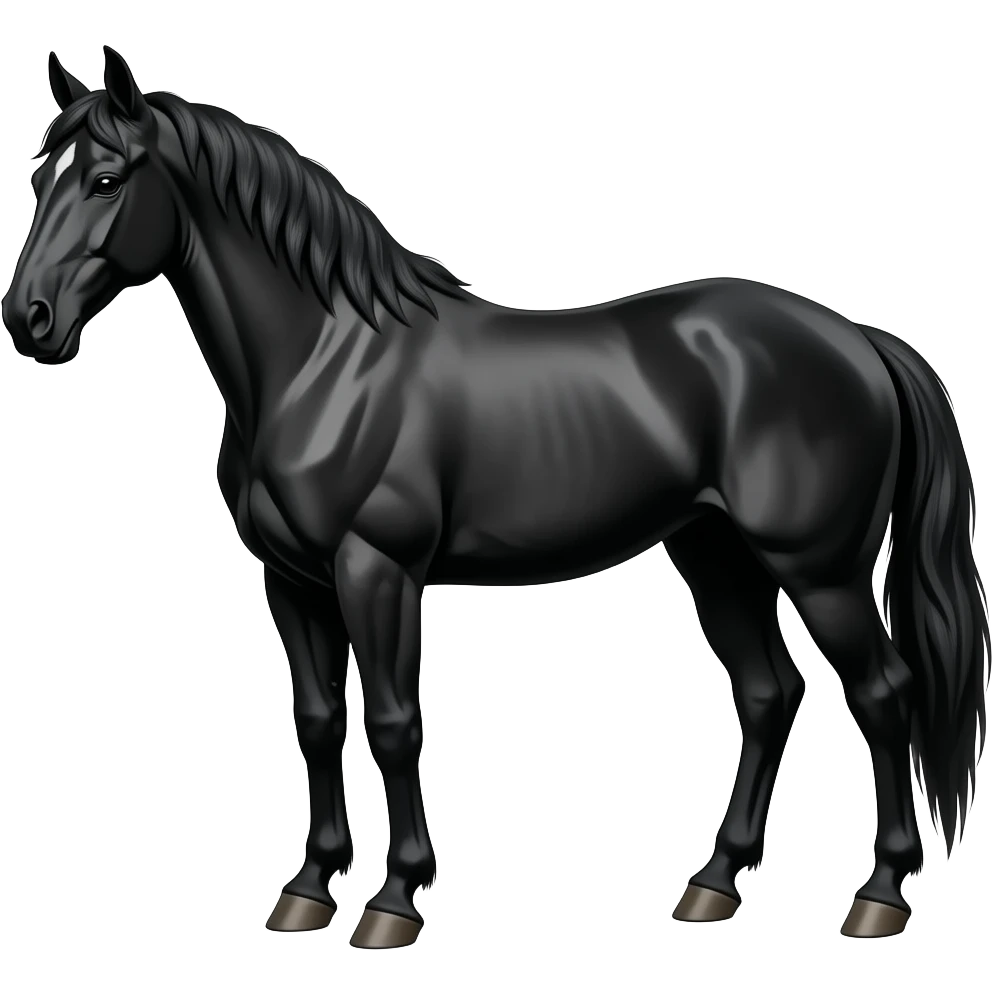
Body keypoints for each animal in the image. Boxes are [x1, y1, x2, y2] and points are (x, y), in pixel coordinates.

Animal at [3, 47, 989, 947]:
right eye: (39, 176)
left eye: (105, 178)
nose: (29, 320)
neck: (325, 359)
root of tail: (859, 340)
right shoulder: (293, 582)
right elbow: (318, 723)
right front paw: (308, 892)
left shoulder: (377, 572)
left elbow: (394, 723)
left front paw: (394, 903)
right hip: (716, 556)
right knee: (768, 693)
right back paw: (713, 885)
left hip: (819, 571)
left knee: (884, 693)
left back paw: (877, 896)